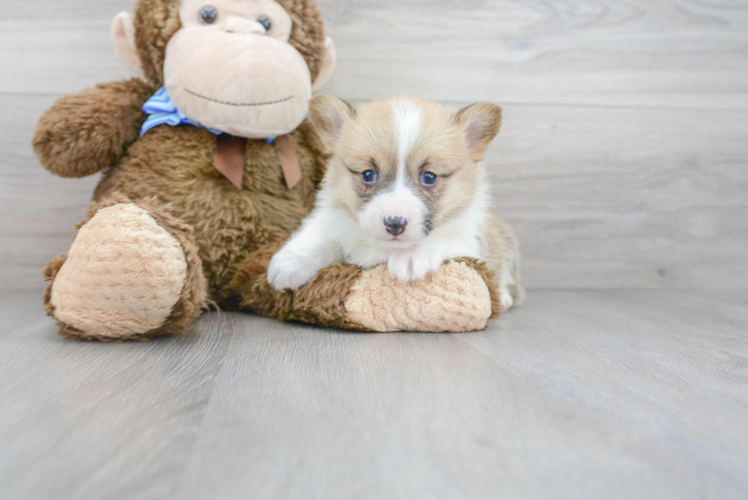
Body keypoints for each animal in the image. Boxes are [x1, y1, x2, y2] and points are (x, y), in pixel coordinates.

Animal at [266, 94, 524, 308]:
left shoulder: (469, 244)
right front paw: (289, 264)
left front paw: (411, 256)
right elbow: (324, 236)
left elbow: (442, 237)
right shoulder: (337, 221)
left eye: (429, 177)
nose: (394, 224)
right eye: (368, 174)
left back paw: (504, 298)